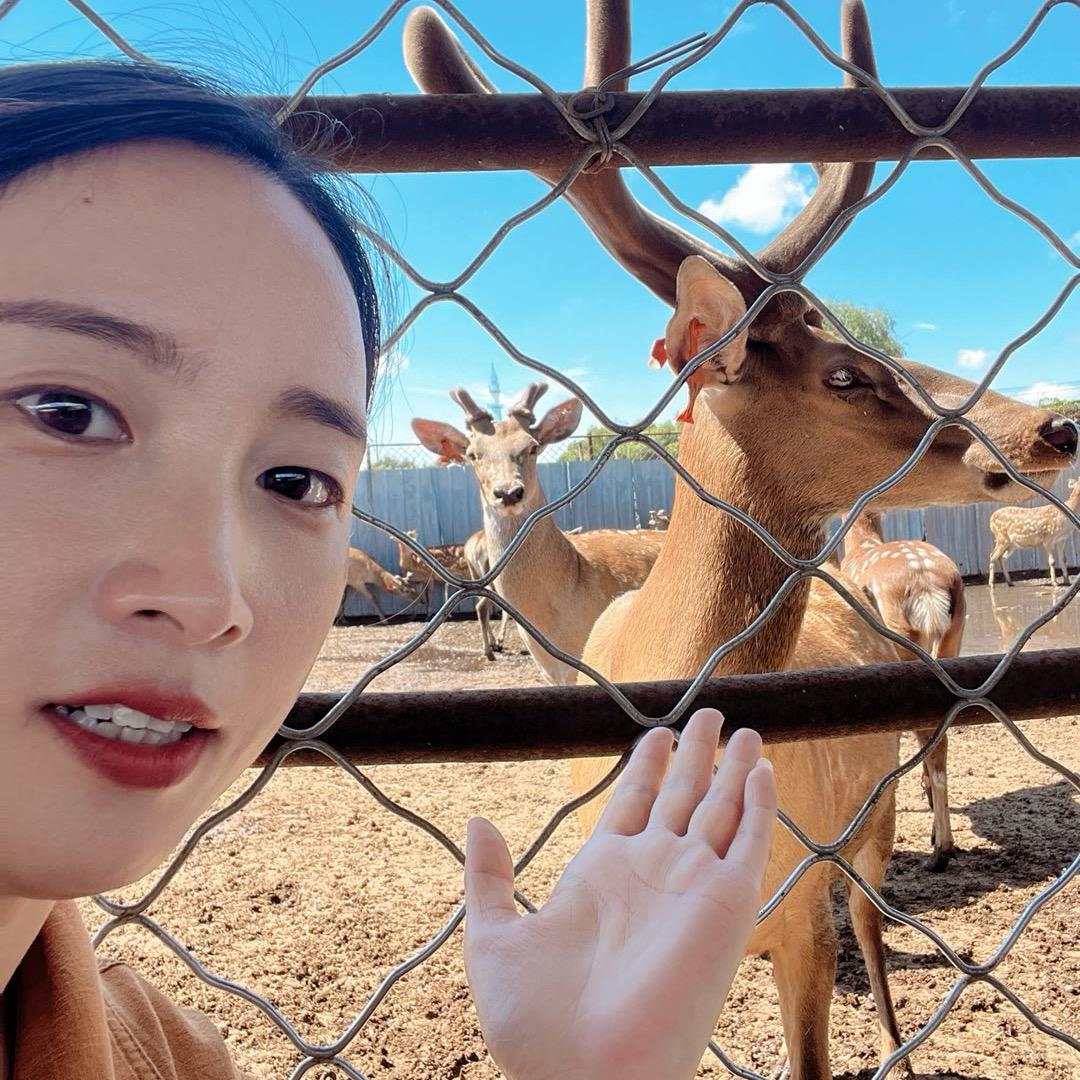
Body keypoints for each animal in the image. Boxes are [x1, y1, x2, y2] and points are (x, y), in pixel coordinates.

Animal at [840, 511, 966, 871]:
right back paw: (942, 845)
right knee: (939, 737)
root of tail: (927, 588)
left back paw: (938, 852)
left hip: (901, 643)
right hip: (953, 635)